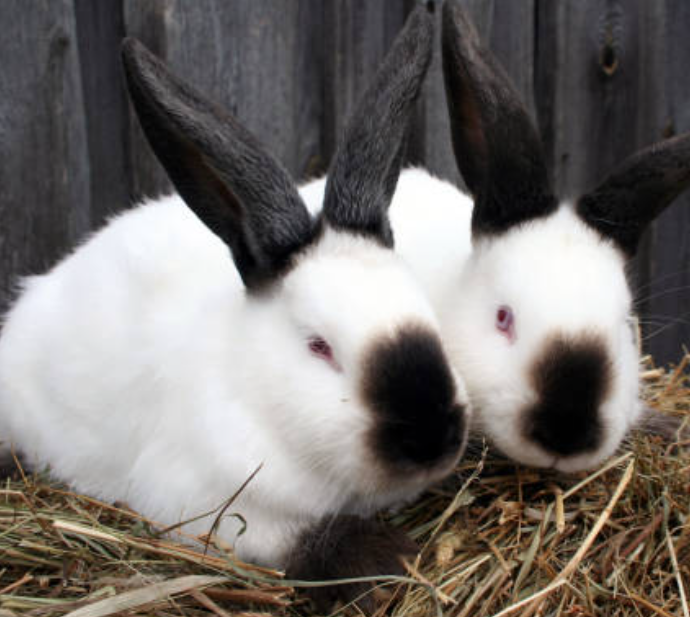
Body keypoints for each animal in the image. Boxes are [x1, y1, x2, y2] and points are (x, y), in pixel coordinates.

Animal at [0, 2, 469, 599]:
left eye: (427, 314)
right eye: (319, 347)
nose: (433, 435)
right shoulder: (210, 506)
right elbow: (296, 542)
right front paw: (386, 560)